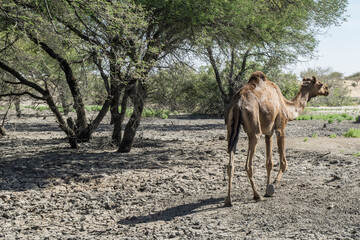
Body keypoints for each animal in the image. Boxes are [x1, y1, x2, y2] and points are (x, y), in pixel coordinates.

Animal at [225, 70, 330, 206]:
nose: (327, 89)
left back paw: (228, 200)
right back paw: (257, 195)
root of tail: (238, 102)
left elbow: (269, 163)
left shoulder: (268, 132)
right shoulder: (280, 128)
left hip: (231, 128)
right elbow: (284, 162)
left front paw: (267, 188)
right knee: (248, 164)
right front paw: (272, 187)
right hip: (254, 129)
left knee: (230, 163)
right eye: (320, 83)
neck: (287, 106)